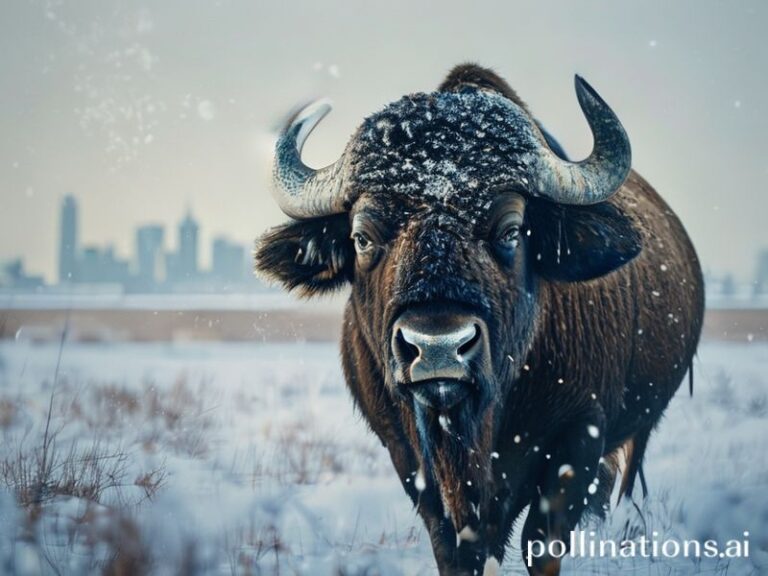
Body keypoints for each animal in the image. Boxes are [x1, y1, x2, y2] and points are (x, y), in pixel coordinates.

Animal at [255, 64, 704, 575]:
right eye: (362, 237)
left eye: (511, 230)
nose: (437, 348)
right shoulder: (409, 458)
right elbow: (455, 547)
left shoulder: (579, 436)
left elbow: (541, 543)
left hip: (638, 431)